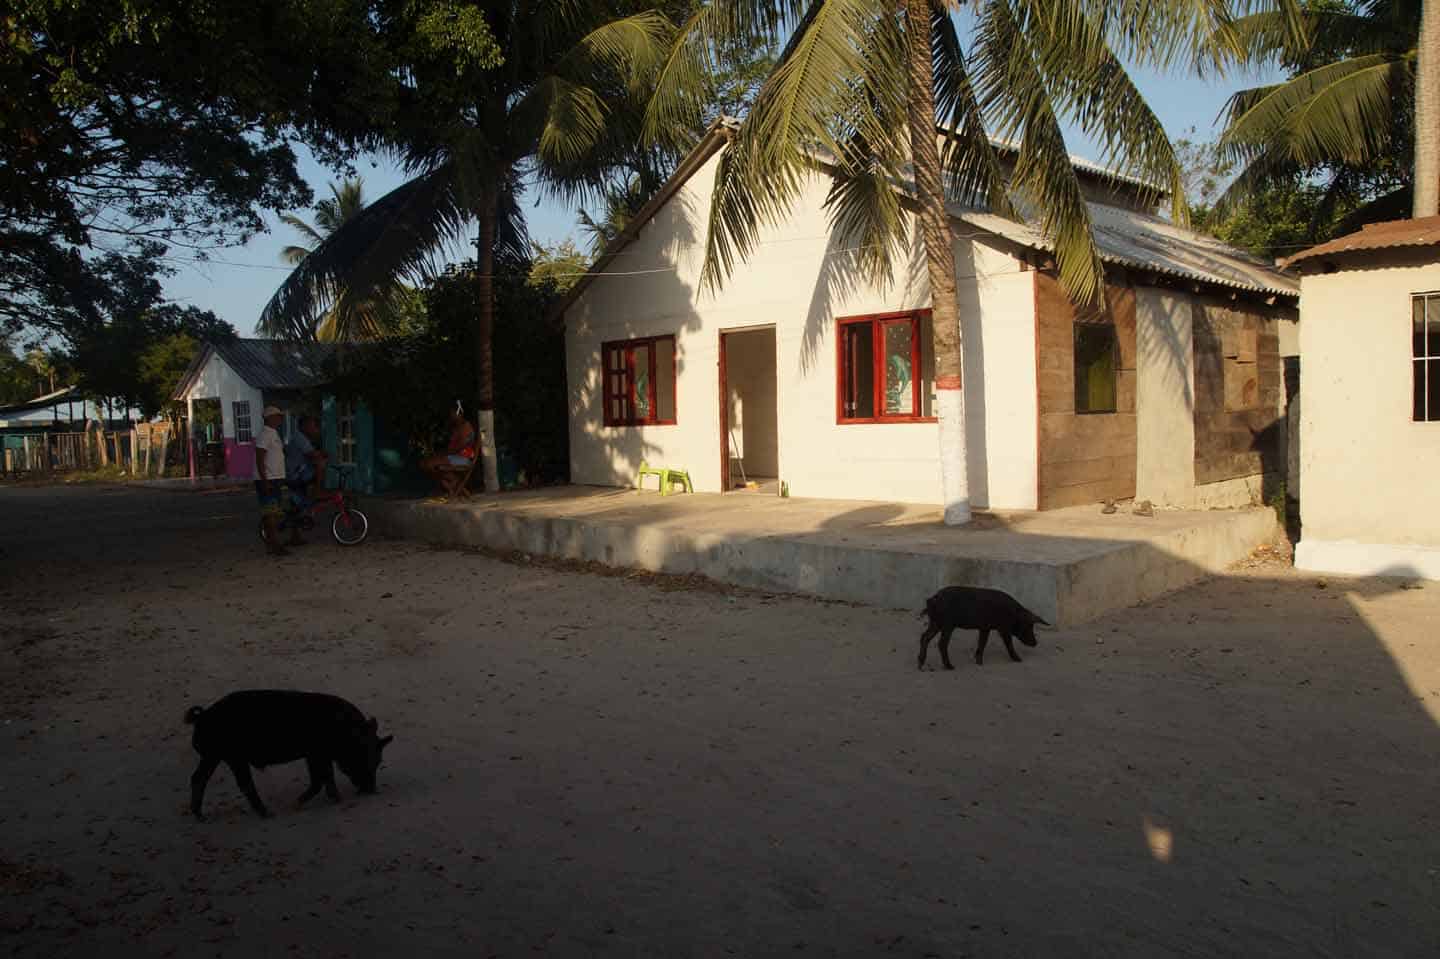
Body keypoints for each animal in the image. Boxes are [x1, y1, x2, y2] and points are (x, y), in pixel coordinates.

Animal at [190, 688, 400, 812]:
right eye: (363, 755)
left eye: (379, 761)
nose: (372, 790)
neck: (345, 731)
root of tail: (202, 716)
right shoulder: (317, 754)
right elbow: (320, 779)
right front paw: (296, 804)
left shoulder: (316, 755)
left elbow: (326, 777)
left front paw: (336, 799)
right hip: (233, 757)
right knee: (244, 784)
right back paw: (268, 813)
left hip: (213, 756)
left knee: (198, 778)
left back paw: (199, 816)